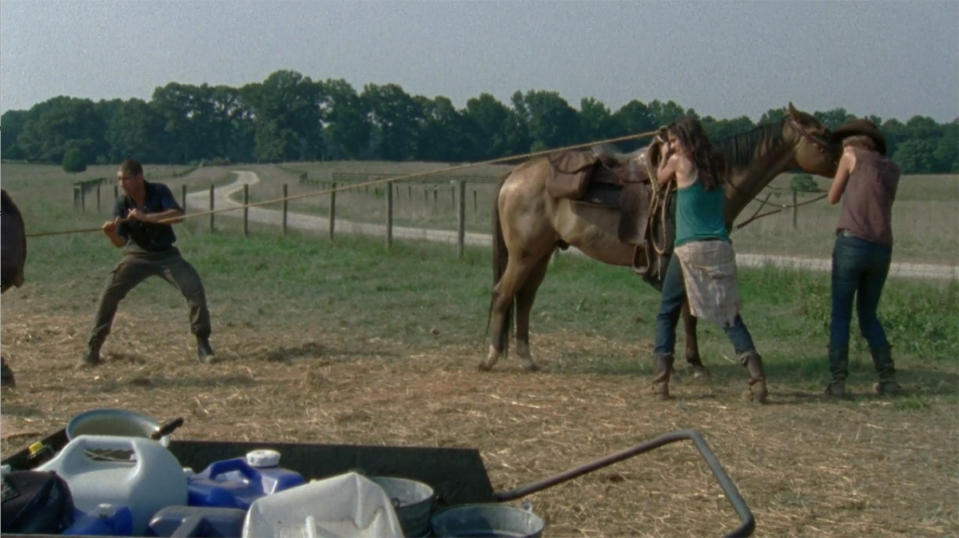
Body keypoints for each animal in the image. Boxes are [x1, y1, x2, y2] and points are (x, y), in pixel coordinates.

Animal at [488, 101, 840, 376]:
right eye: (822, 133)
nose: (845, 161)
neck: (707, 181)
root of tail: (514, 174)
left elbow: (687, 311)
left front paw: (693, 362)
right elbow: (688, 311)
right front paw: (693, 363)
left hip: (541, 255)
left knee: (525, 299)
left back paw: (527, 359)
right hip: (524, 255)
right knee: (504, 294)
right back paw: (491, 357)